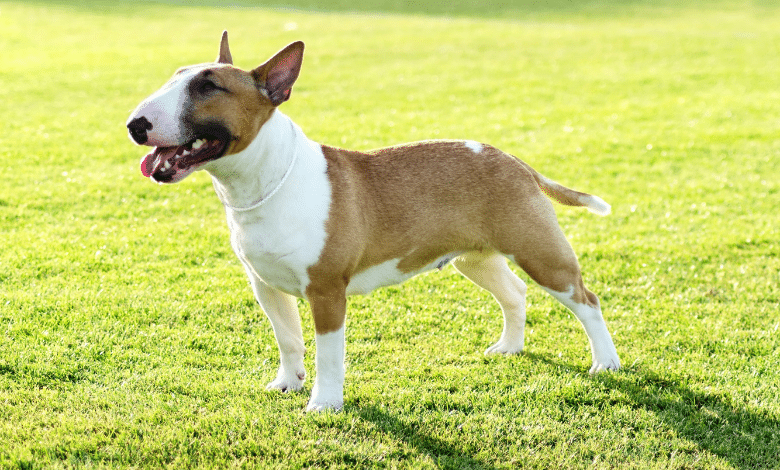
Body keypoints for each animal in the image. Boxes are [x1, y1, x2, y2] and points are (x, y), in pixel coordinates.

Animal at [128, 33, 620, 412]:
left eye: (209, 86)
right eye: (173, 77)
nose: (135, 124)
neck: (265, 181)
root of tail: (514, 161)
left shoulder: (327, 291)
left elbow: (328, 354)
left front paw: (324, 404)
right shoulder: (264, 283)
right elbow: (288, 338)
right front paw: (287, 383)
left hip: (539, 252)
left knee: (586, 299)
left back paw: (606, 363)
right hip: (475, 258)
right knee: (515, 292)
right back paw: (510, 347)